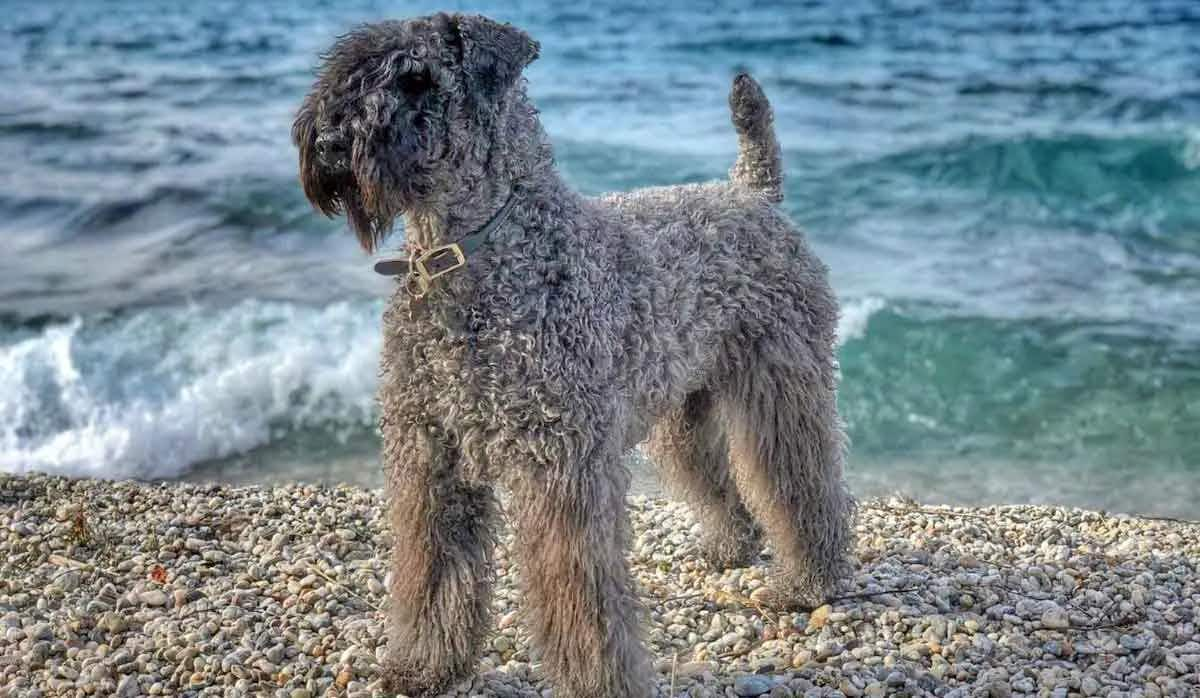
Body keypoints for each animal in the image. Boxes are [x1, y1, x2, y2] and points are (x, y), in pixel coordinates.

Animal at [290, 12, 854, 698]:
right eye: (345, 69)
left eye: (417, 78)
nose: (328, 141)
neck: (481, 255)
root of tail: (751, 193)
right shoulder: (430, 458)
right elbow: (431, 570)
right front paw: (422, 665)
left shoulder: (561, 470)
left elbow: (580, 596)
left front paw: (597, 681)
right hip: (682, 410)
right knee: (715, 475)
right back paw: (730, 545)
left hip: (781, 388)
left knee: (802, 480)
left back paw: (809, 580)